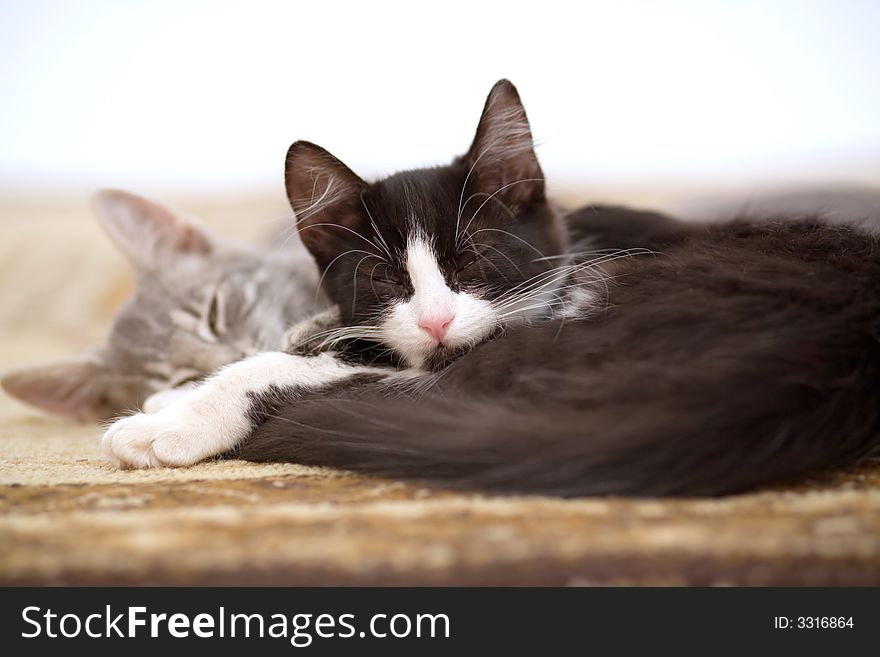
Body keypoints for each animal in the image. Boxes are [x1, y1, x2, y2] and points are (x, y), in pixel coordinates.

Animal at [101, 79, 880, 494]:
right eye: (382, 276)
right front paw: (173, 394)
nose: (437, 320)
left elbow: (298, 367)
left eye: (473, 258)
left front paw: (169, 421)